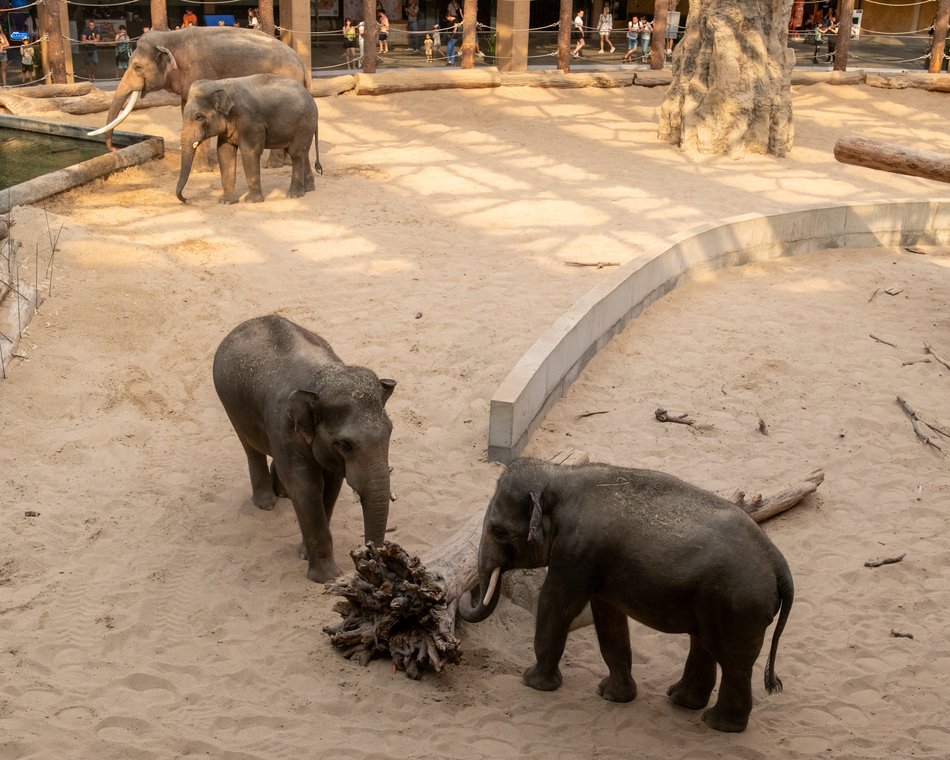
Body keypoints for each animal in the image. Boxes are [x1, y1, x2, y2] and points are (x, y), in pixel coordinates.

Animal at [87, 26, 310, 166]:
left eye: (138, 67)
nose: (113, 149)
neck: (169, 37)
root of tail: (301, 63)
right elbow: (185, 108)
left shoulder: (198, 71)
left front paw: (202, 169)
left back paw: (273, 165)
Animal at [178, 74, 324, 205]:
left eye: (199, 117)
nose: (187, 200)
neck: (221, 84)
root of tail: (310, 96)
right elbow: (225, 153)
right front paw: (226, 202)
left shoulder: (251, 122)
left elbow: (250, 152)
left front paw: (251, 201)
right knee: (302, 152)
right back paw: (309, 189)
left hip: (305, 122)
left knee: (296, 153)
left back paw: (294, 195)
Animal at [214, 314, 396, 580]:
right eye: (345, 444)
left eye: (390, 431)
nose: (369, 560)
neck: (321, 379)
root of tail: (250, 321)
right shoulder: (283, 425)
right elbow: (306, 487)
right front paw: (328, 577)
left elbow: (330, 487)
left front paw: (304, 555)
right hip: (231, 405)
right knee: (250, 447)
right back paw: (266, 503)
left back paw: (281, 493)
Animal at [462, 454, 796, 732]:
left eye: (498, 531)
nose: (467, 592)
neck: (558, 477)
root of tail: (778, 563)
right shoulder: (598, 565)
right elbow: (608, 617)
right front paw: (612, 695)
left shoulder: (575, 552)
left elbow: (556, 604)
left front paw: (531, 682)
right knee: (705, 644)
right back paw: (682, 701)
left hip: (737, 607)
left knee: (734, 662)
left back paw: (718, 724)